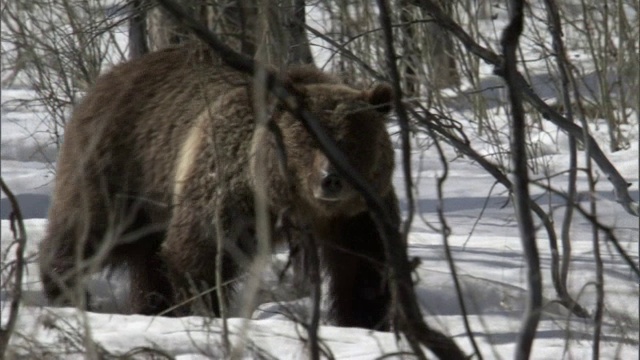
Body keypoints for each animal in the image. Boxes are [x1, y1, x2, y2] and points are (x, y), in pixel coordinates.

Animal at [37, 43, 398, 330]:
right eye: (308, 141)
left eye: (352, 142)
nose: (330, 179)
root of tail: (110, 75)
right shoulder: (230, 186)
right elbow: (201, 249)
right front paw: (203, 310)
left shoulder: (359, 213)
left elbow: (366, 268)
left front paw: (364, 320)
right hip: (122, 166)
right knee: (89, 229)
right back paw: (66, 290)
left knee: (147, 258)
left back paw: (150, 305)